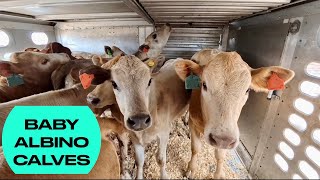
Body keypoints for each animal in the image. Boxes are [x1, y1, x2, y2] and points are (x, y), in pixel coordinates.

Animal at [175, 50, 296, 179]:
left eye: (247, 90)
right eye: (204, 85)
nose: (222, 139)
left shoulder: (229, 134)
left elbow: (220, 155)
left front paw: (219, 174)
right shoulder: (195, 122)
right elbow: (195, 148)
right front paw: (191, 169)